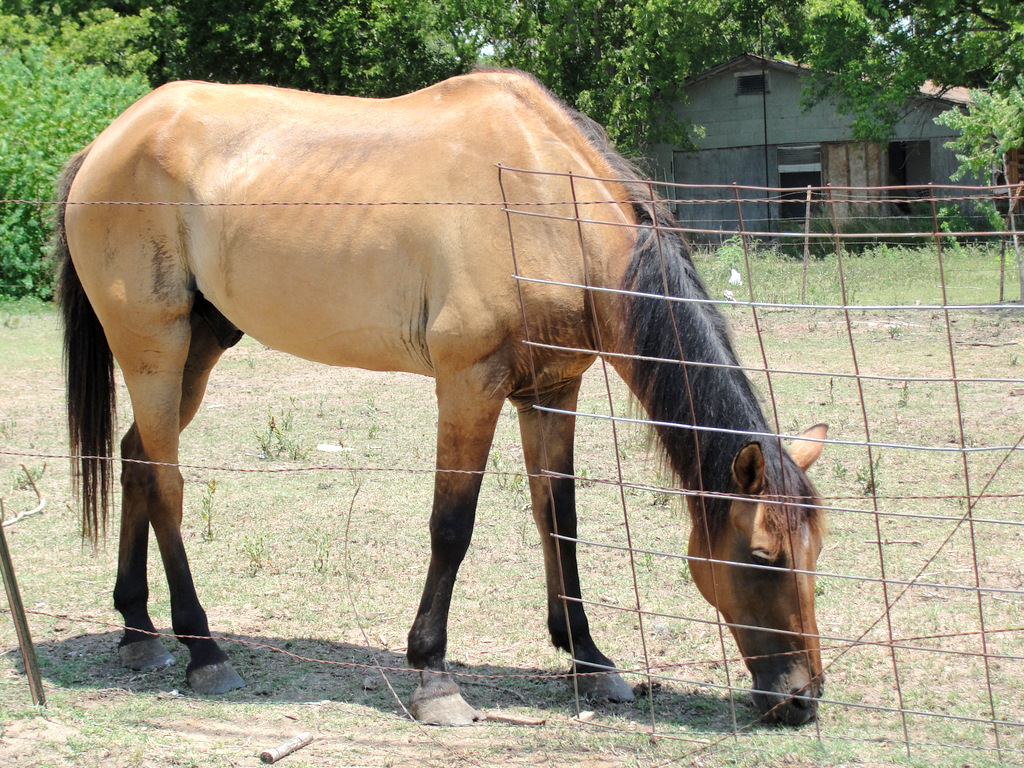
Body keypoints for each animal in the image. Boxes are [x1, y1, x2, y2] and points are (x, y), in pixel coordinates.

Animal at [55, 69, 827, 726]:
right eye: (764, 557)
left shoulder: (552, 390)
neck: (542, 200)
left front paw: (588, 660)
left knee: (136, 459)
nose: (803, 699)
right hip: (154, 347)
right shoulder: (469, 383)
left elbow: (561, 519)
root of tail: (105, 143)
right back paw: (202, 648)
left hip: (201, 345)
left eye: (816, 551)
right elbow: (451, 527)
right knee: (167, 482)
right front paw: (433, 676)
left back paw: (138, 631)